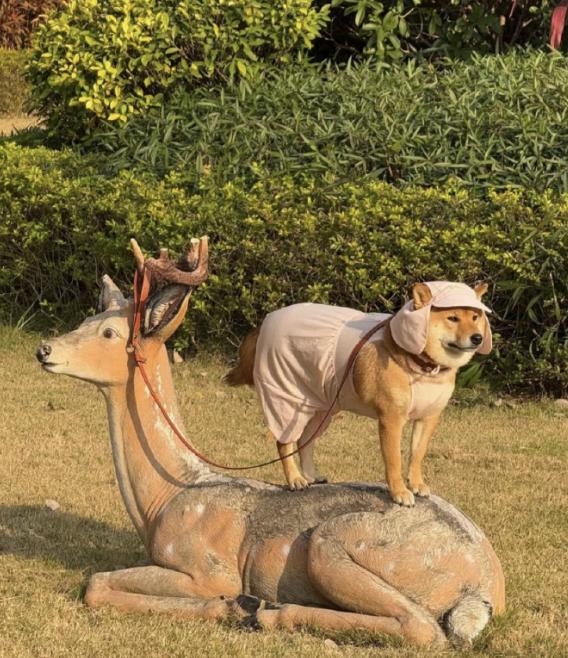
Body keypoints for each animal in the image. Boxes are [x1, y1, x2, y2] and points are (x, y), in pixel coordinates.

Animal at [225, 281, 492, 506]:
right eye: (452, 318)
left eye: (475, 317)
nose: (477, 338)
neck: (423, 367)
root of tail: (266, 320)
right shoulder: (391, 419)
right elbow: (394, 461)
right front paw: (399, 492)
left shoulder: (428, 418)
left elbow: (417, 456)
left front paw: (417, 484)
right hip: (288, 400)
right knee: (284, 442)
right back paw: (294, 479)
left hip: (322, 406)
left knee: (304, 441)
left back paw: (310, 475)